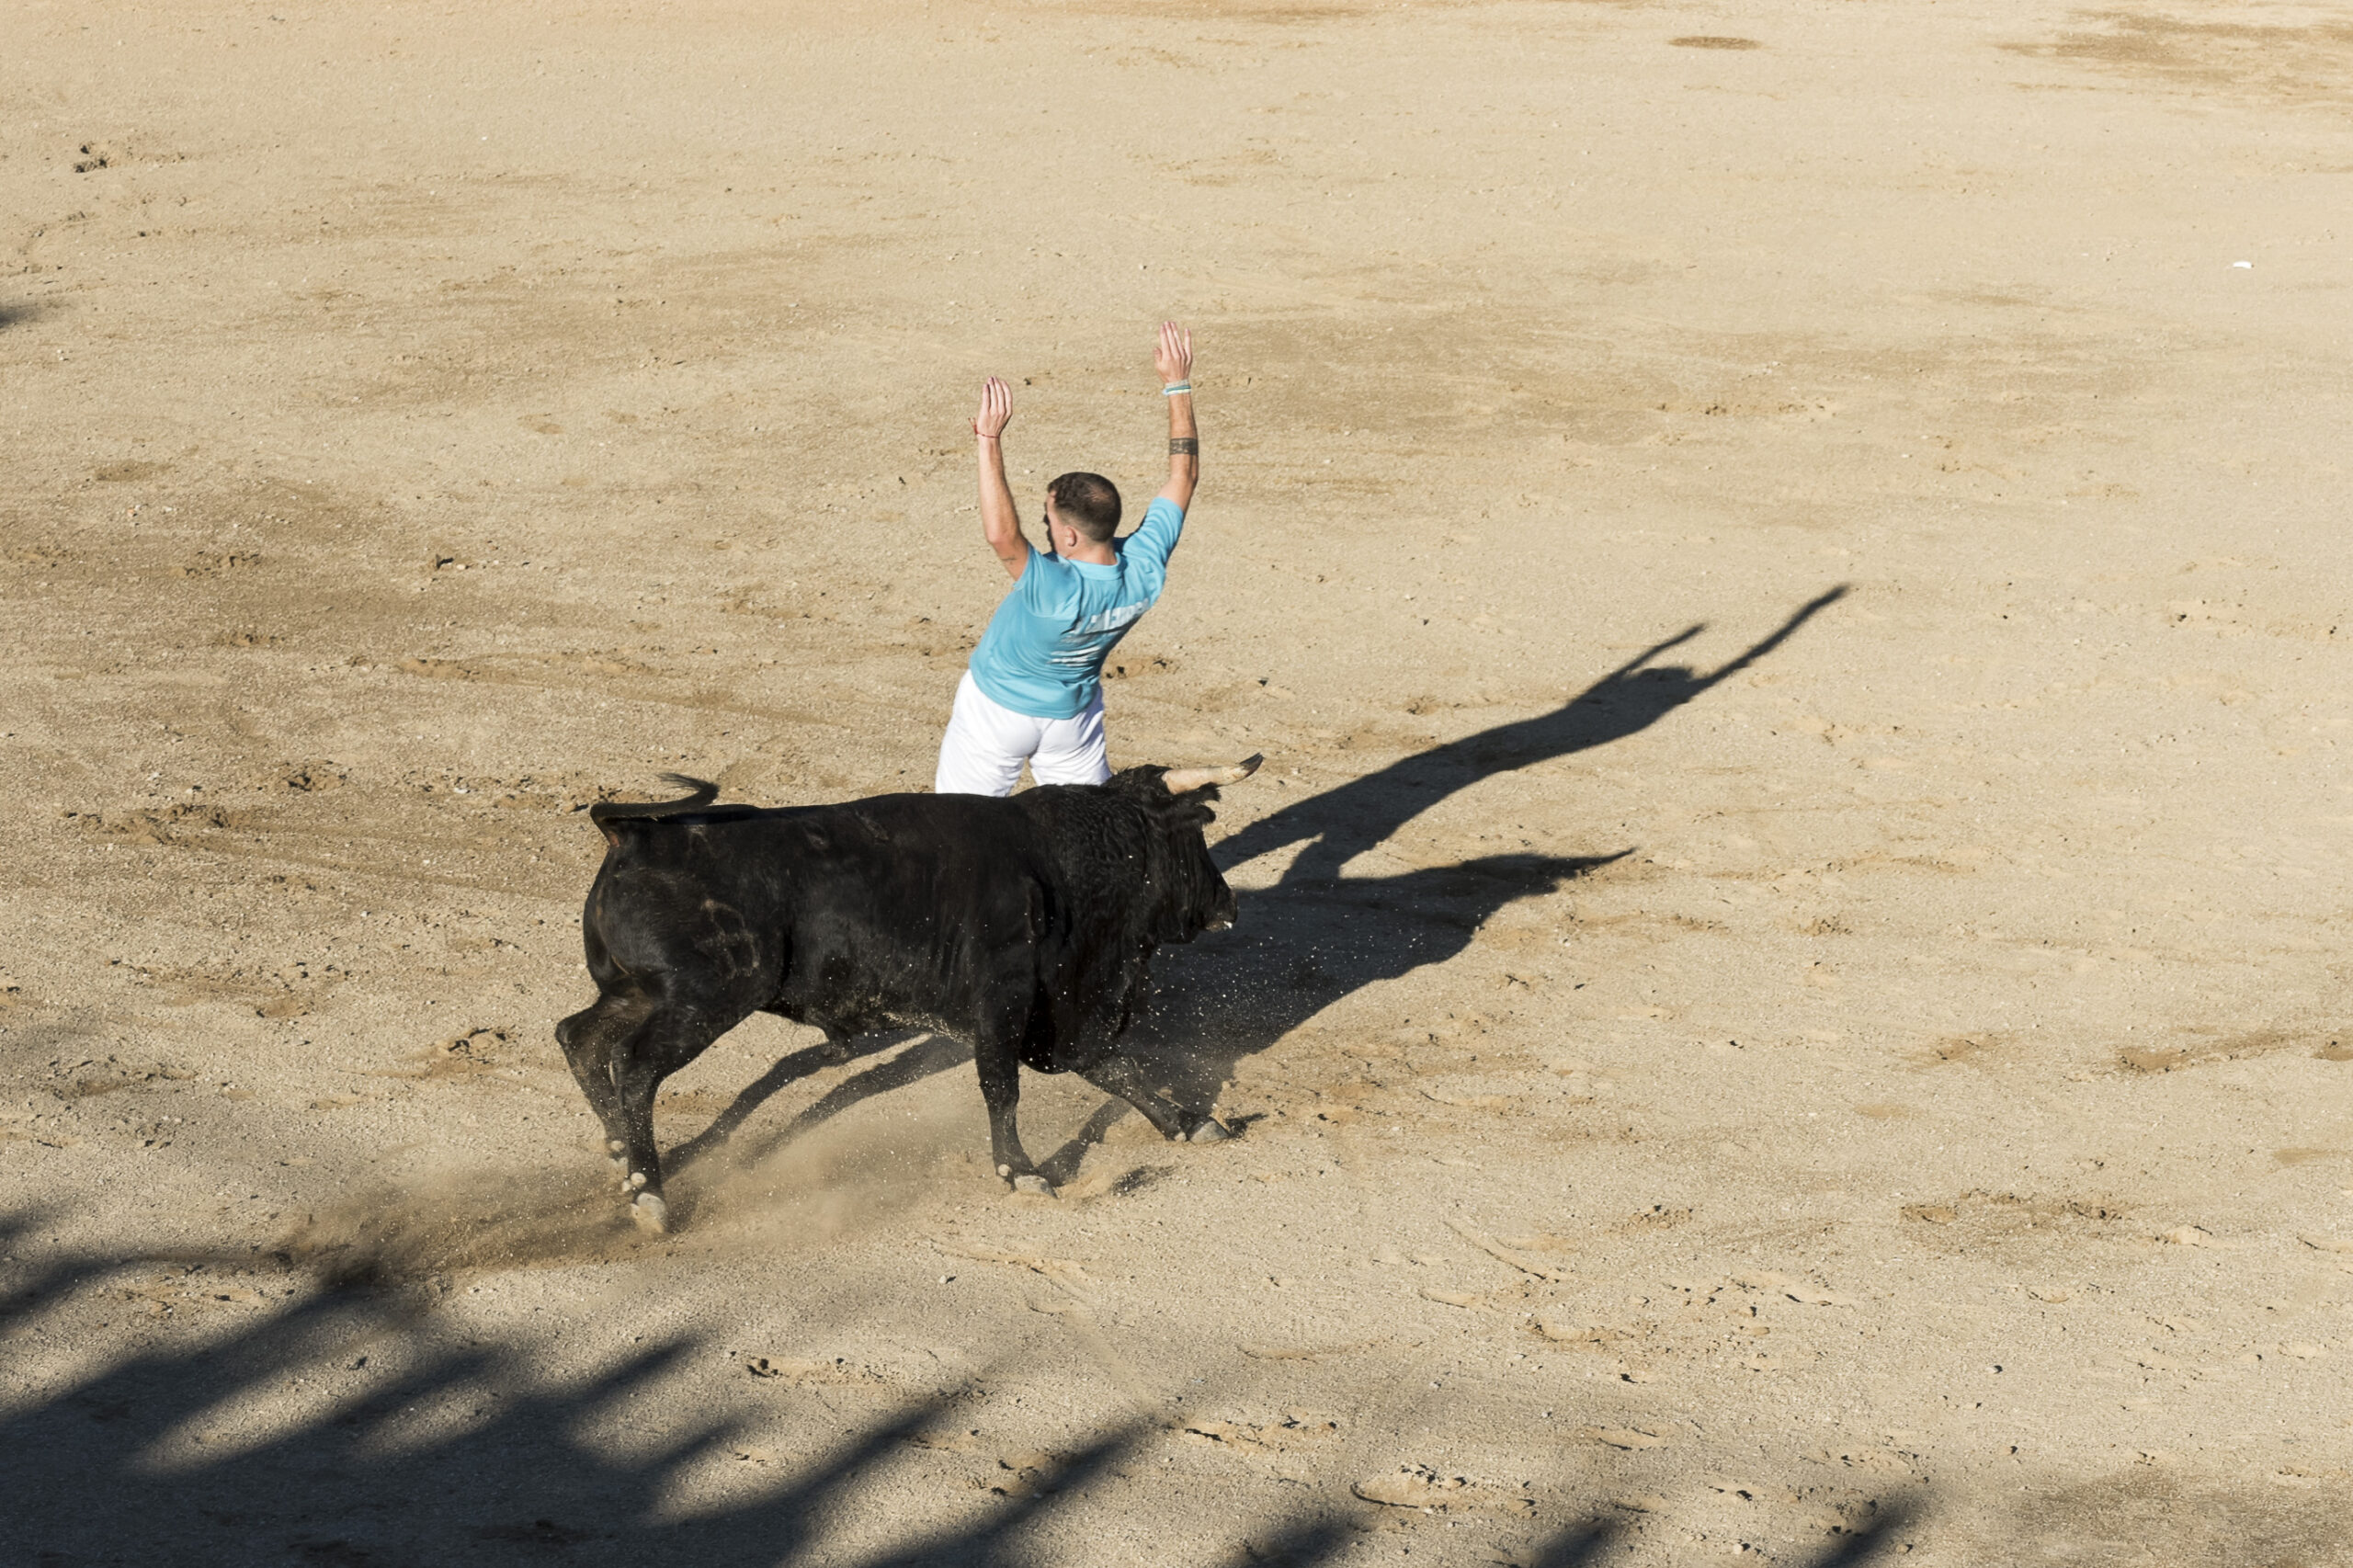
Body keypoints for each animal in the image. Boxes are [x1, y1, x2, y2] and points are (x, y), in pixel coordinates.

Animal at [552, 757, 1261, 1233]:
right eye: (1195, 834)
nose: (1228, 904)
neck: (1060, 865)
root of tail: (637, 834)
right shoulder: (1005, 1003)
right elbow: (1003, 1086)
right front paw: (1022, 1172)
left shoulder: (1059, 1016)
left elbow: (1116, 1068)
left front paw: (1190, 1122)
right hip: (707, 997)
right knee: (635, 1066)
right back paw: (650, 1195)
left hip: (639, 991)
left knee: (580, 1038)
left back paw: (621, 1155)